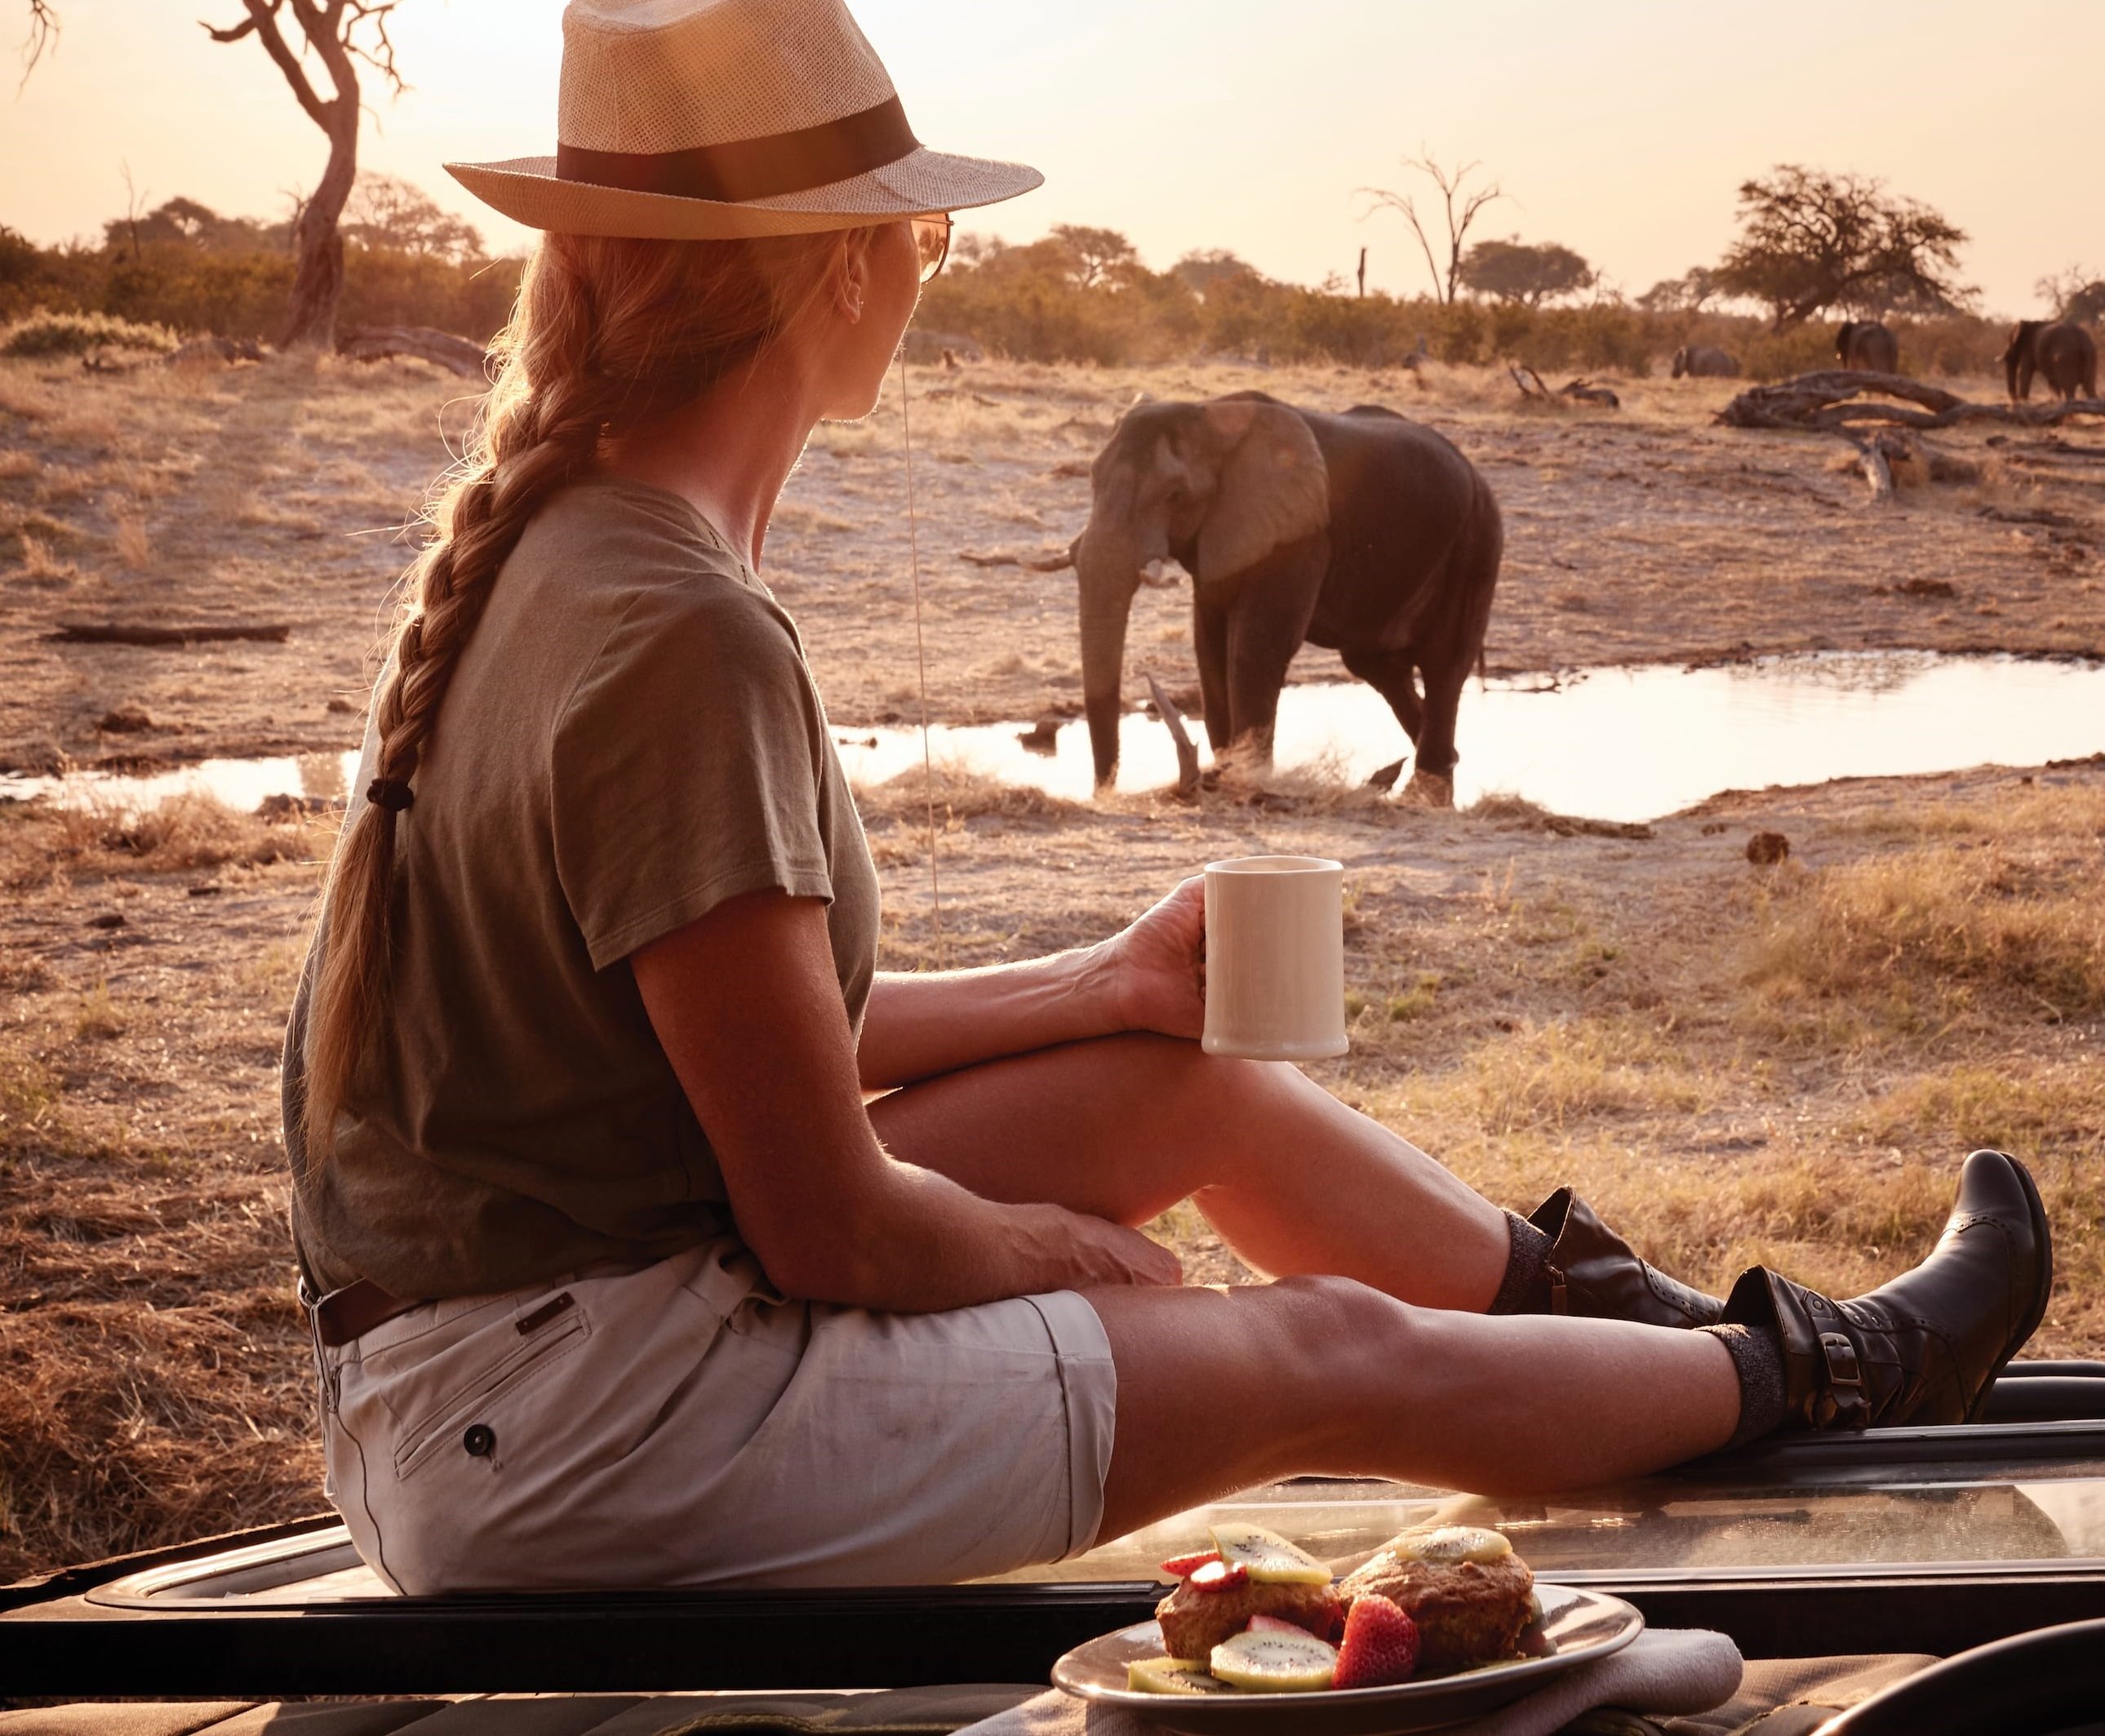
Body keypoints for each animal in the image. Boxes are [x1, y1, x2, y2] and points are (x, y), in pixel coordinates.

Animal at [1069, 392, 1502, 803]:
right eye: (1091, 479)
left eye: (1174, 495)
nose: (1104, 792)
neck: (1213, 416)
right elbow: (1209, 645)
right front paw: (1225, 775)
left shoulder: (1300, 536)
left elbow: (1255, 648)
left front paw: (1245, 780)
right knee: (1377, 666)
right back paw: (1433, 766)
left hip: (1477, 543)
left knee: (1442, 664)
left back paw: (1424, 791)